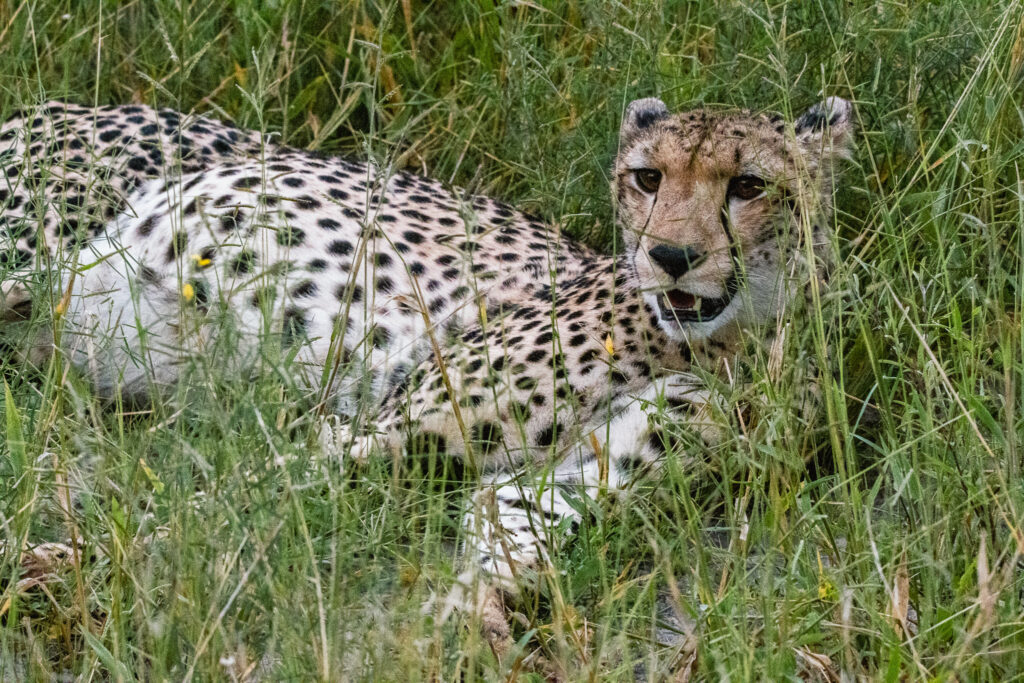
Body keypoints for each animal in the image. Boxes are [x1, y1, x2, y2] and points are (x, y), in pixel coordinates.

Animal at [1, 96, 853, 655]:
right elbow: (224, 504)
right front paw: (49, 565)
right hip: (33, 261)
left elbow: (513, 531)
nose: (671, 256)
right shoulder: (375, 427)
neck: (721, 343)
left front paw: (467, 624)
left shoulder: (579, 474)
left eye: (749, 186)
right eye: (648, 178)